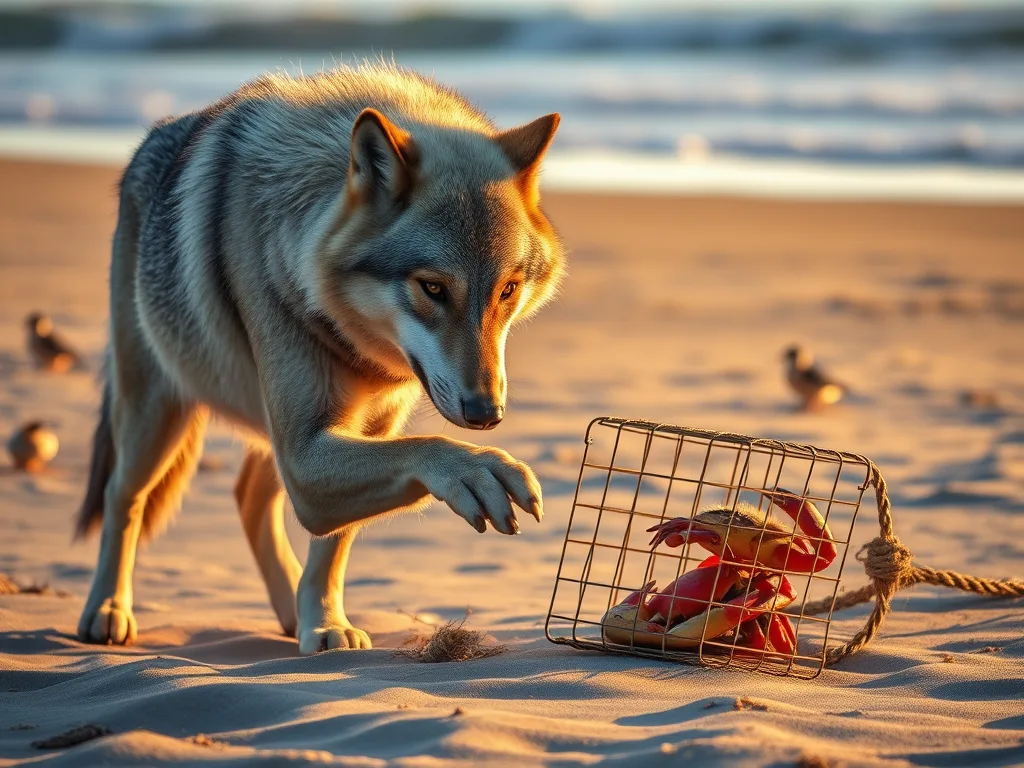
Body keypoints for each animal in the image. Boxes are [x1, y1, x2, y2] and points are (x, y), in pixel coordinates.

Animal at [74, 63, 564, 654]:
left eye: (508, 290)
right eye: (433, 288)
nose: (487, 414)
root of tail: (150, 140)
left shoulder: (357, 435)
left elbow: (334, 542)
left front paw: (324, 622)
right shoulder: (308, 453)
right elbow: (429, 449)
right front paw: (477, 468)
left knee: (247, 496)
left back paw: (290, 612)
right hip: (157, 414)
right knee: (122, 496)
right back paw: (106, 609)